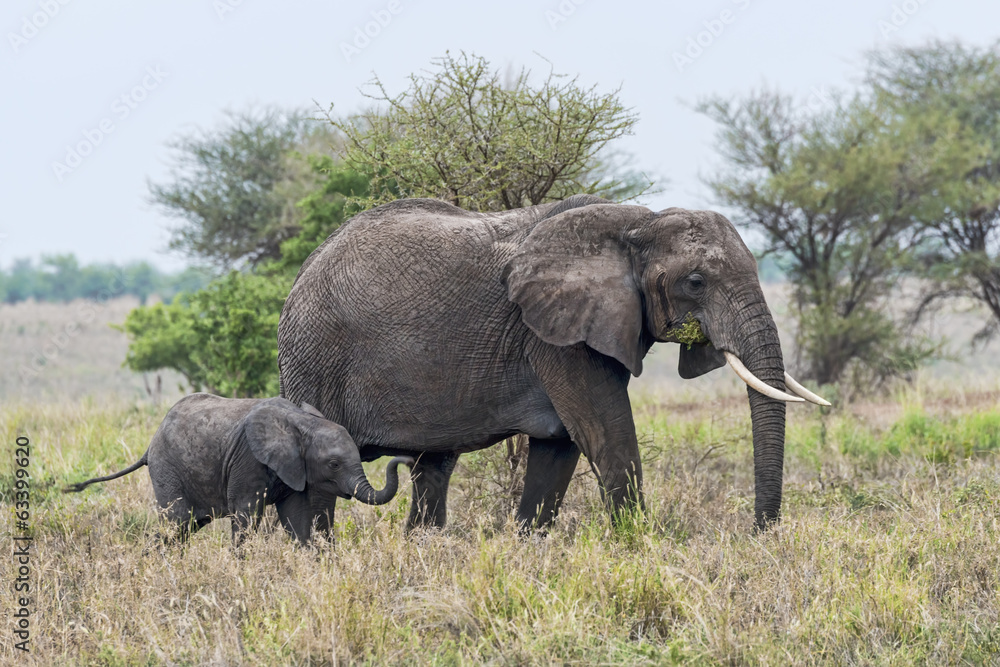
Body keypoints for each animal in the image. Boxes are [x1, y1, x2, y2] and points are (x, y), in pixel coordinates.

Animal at [64, 393, 414, 545]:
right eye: (334, 464)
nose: (407, 459)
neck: (302, 422)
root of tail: (149, 446)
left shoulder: (292, 469)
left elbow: (298, 518)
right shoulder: (249, 460)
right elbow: (246, 514)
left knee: (186, 526)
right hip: (167, 469)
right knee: (176, 523)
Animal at [276, 195, 829, 532]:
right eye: (696, 282)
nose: (757, 532)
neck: (637, 222)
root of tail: (304, 269)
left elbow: (559, 450)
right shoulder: (554, 336)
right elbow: (606, 436)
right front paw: (639, 548)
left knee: (433, 469)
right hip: (314, 357)